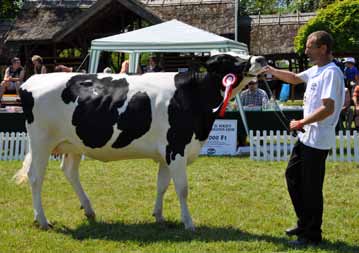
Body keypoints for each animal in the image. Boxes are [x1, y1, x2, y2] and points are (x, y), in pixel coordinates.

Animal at [14, 53, 268, 231]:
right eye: (231, 59)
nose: (261, 59)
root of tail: (32, 79)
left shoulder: (166, 153)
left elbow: (162, 185)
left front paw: (159, 217)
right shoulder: (177, 148)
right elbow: (182, 188)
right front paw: (189, 223)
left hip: (73, 144)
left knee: (69, 172)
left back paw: (89, 210)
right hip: (41, 141)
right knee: (35, 177)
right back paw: (43, 220)